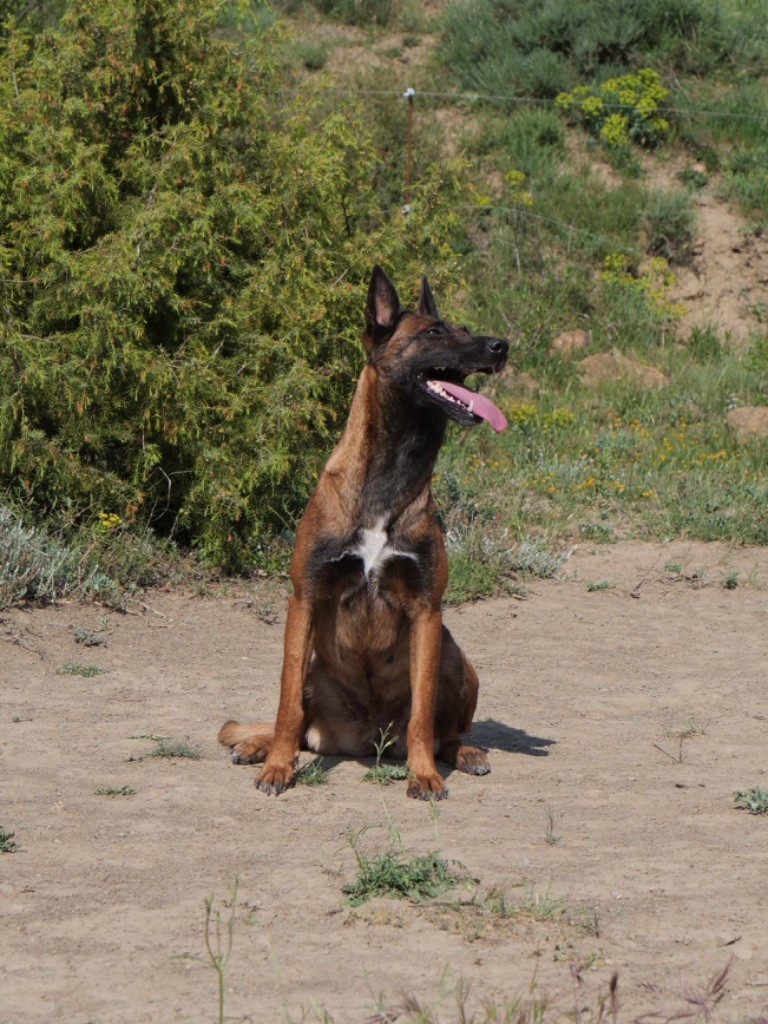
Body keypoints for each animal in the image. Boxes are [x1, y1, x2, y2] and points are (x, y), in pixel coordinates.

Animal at [219, 266, 509, 799]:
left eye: (462, 328)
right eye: (435, 332)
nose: (502, 346)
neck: (389, 475)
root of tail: (368, 735)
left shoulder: (427, 612)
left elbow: (422, 717)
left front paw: (423, 774)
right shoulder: (304, 600)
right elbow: (285, 706)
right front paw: (277, 767)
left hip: (455, 656)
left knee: (447, 732)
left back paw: (465, 753)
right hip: (315, 666)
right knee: (297, 720)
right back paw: (257, 746)